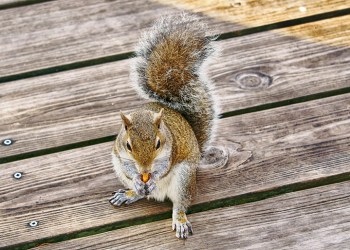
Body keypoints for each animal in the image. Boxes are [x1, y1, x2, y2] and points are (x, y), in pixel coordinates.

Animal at [110, 12, 219, 239]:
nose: (144, 170)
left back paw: (179, 219)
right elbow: (128, 167)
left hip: (184, 178)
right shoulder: (119, 155)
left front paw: (153, 177)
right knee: (141, 194)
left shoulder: (172, 150)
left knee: (181, 203)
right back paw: (131, 193)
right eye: (128, 145)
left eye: (159, 143)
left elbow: (163, 168)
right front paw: (137, 179)